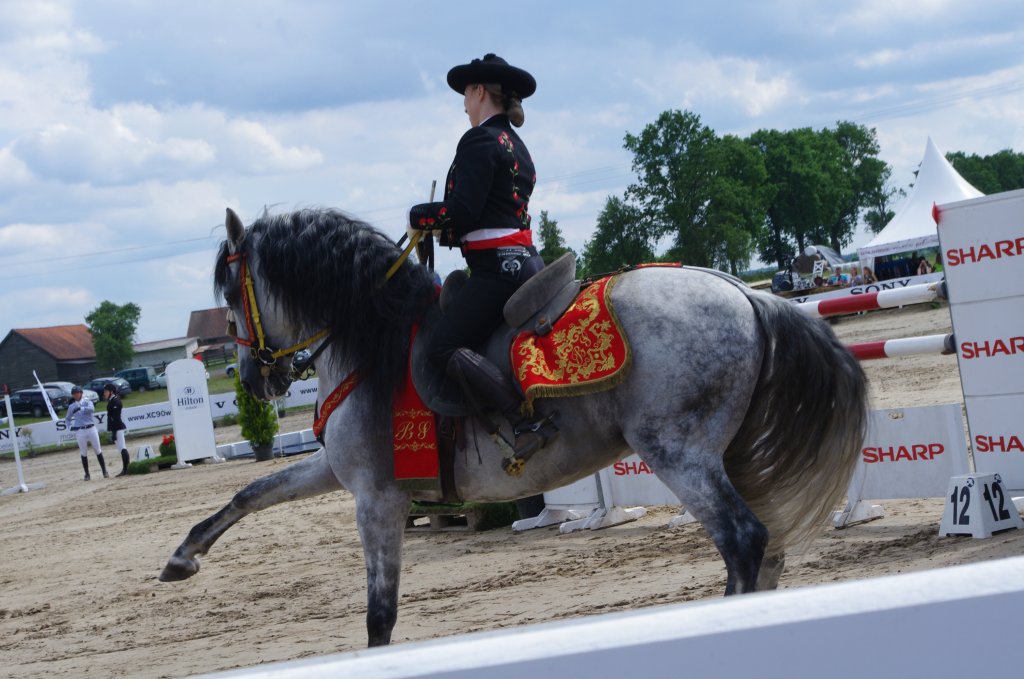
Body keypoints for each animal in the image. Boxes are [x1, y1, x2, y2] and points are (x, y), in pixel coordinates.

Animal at [163, 208, 868, 647]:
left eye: (231, 292)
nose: (255, 380)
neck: (372, 343)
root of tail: (748, 293)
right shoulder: (342, 474)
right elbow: (253, 492)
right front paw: (184, 555)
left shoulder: (376, 497)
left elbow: (380, 616)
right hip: (725, 454)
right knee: (767, 547)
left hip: (680, 454)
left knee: (744, 540)